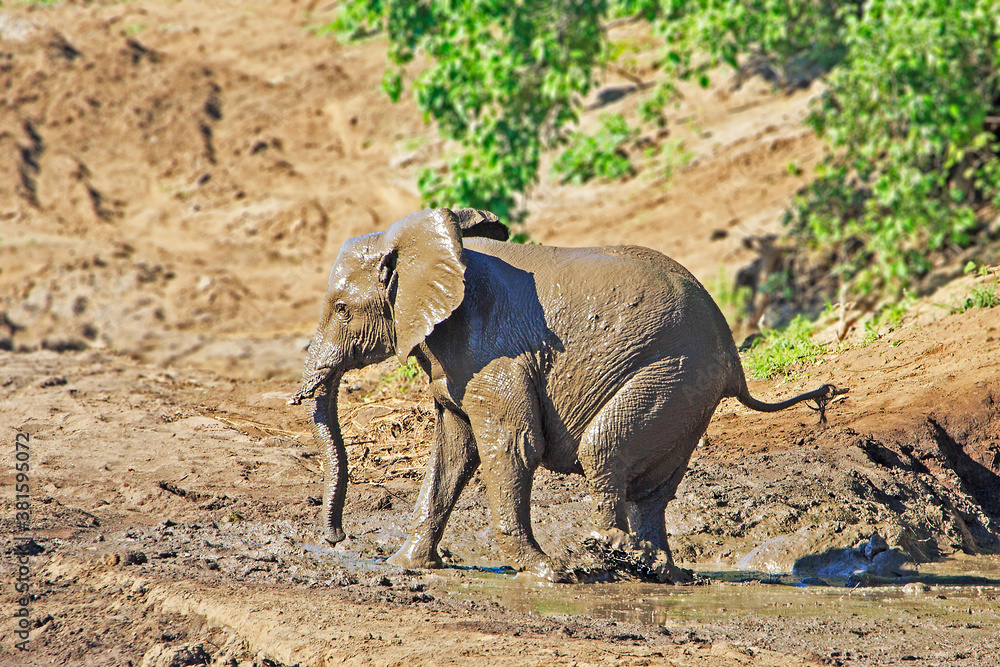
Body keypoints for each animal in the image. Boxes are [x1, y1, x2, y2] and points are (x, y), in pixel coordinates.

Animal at [289, 207, 838, 581]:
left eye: (341, 309)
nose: (336, 538)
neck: (425, 243)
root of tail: (734, 360)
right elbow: (453, 452)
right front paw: (404, 566)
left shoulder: (496, 354)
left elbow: (511, 445)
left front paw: (545, 573)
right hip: (688, 391)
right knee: (653, 487)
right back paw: (656, 571)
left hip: (674, 373)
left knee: (604, 447)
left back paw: (604, 554)